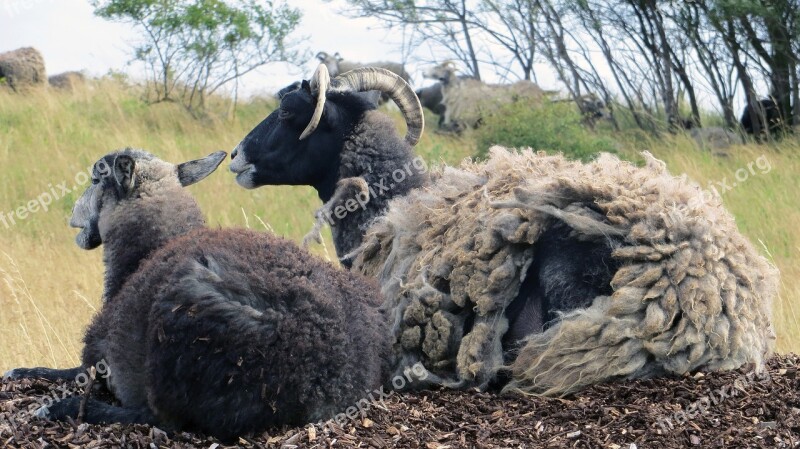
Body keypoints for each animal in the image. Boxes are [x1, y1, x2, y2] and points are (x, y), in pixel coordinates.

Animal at [7, 149, 390, 440]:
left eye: (94, 179)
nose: (72, 217)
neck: (146, 251)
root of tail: (323, 378)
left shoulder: (95, 361)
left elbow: (58, 371)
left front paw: (26, 378)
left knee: (161, 420)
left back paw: (61, 408)